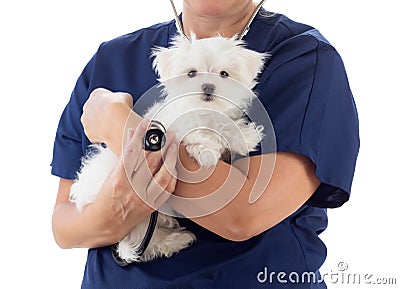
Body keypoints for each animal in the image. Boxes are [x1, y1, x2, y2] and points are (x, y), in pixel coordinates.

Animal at [70, 34, 268, 264]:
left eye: (224, 74)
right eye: (191, 73)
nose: (208, 86)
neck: (204, 110)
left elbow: (225, 123)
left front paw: (244, 137)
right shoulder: (176, 127)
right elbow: (196, 133)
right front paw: (207, 150)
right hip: (136, 216)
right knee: (146, 242)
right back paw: (175, 240)